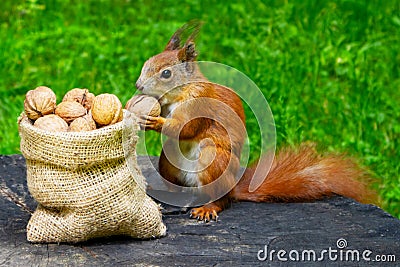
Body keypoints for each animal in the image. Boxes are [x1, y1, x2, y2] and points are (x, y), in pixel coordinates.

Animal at [136, 20, 374, 222]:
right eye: (147, 62)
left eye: (166, 74)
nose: (138, 85)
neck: (181, 92)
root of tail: (233, 187)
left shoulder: (199, 103)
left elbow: (185, 127)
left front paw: (154, 121)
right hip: (168, 161)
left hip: (213, 162)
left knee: (221, 200)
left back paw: (208, 208)